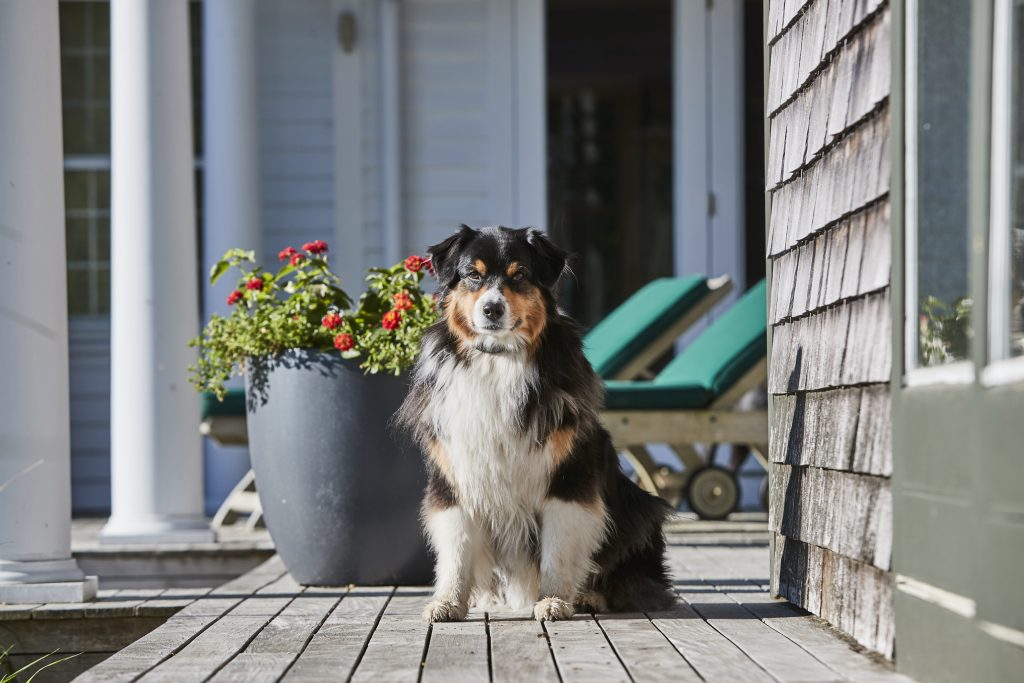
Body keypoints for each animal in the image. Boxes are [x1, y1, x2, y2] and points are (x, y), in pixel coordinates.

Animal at [395, 225, 675, 626]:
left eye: (519, 275)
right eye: (473, 275)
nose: (492, 309)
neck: (497, 360)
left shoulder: (569, 479)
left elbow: (558, 548)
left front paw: (554, 600)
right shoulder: (453, 475)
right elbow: (456, 546)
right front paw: (448, 602)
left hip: (640, 508)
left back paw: (589, 596)